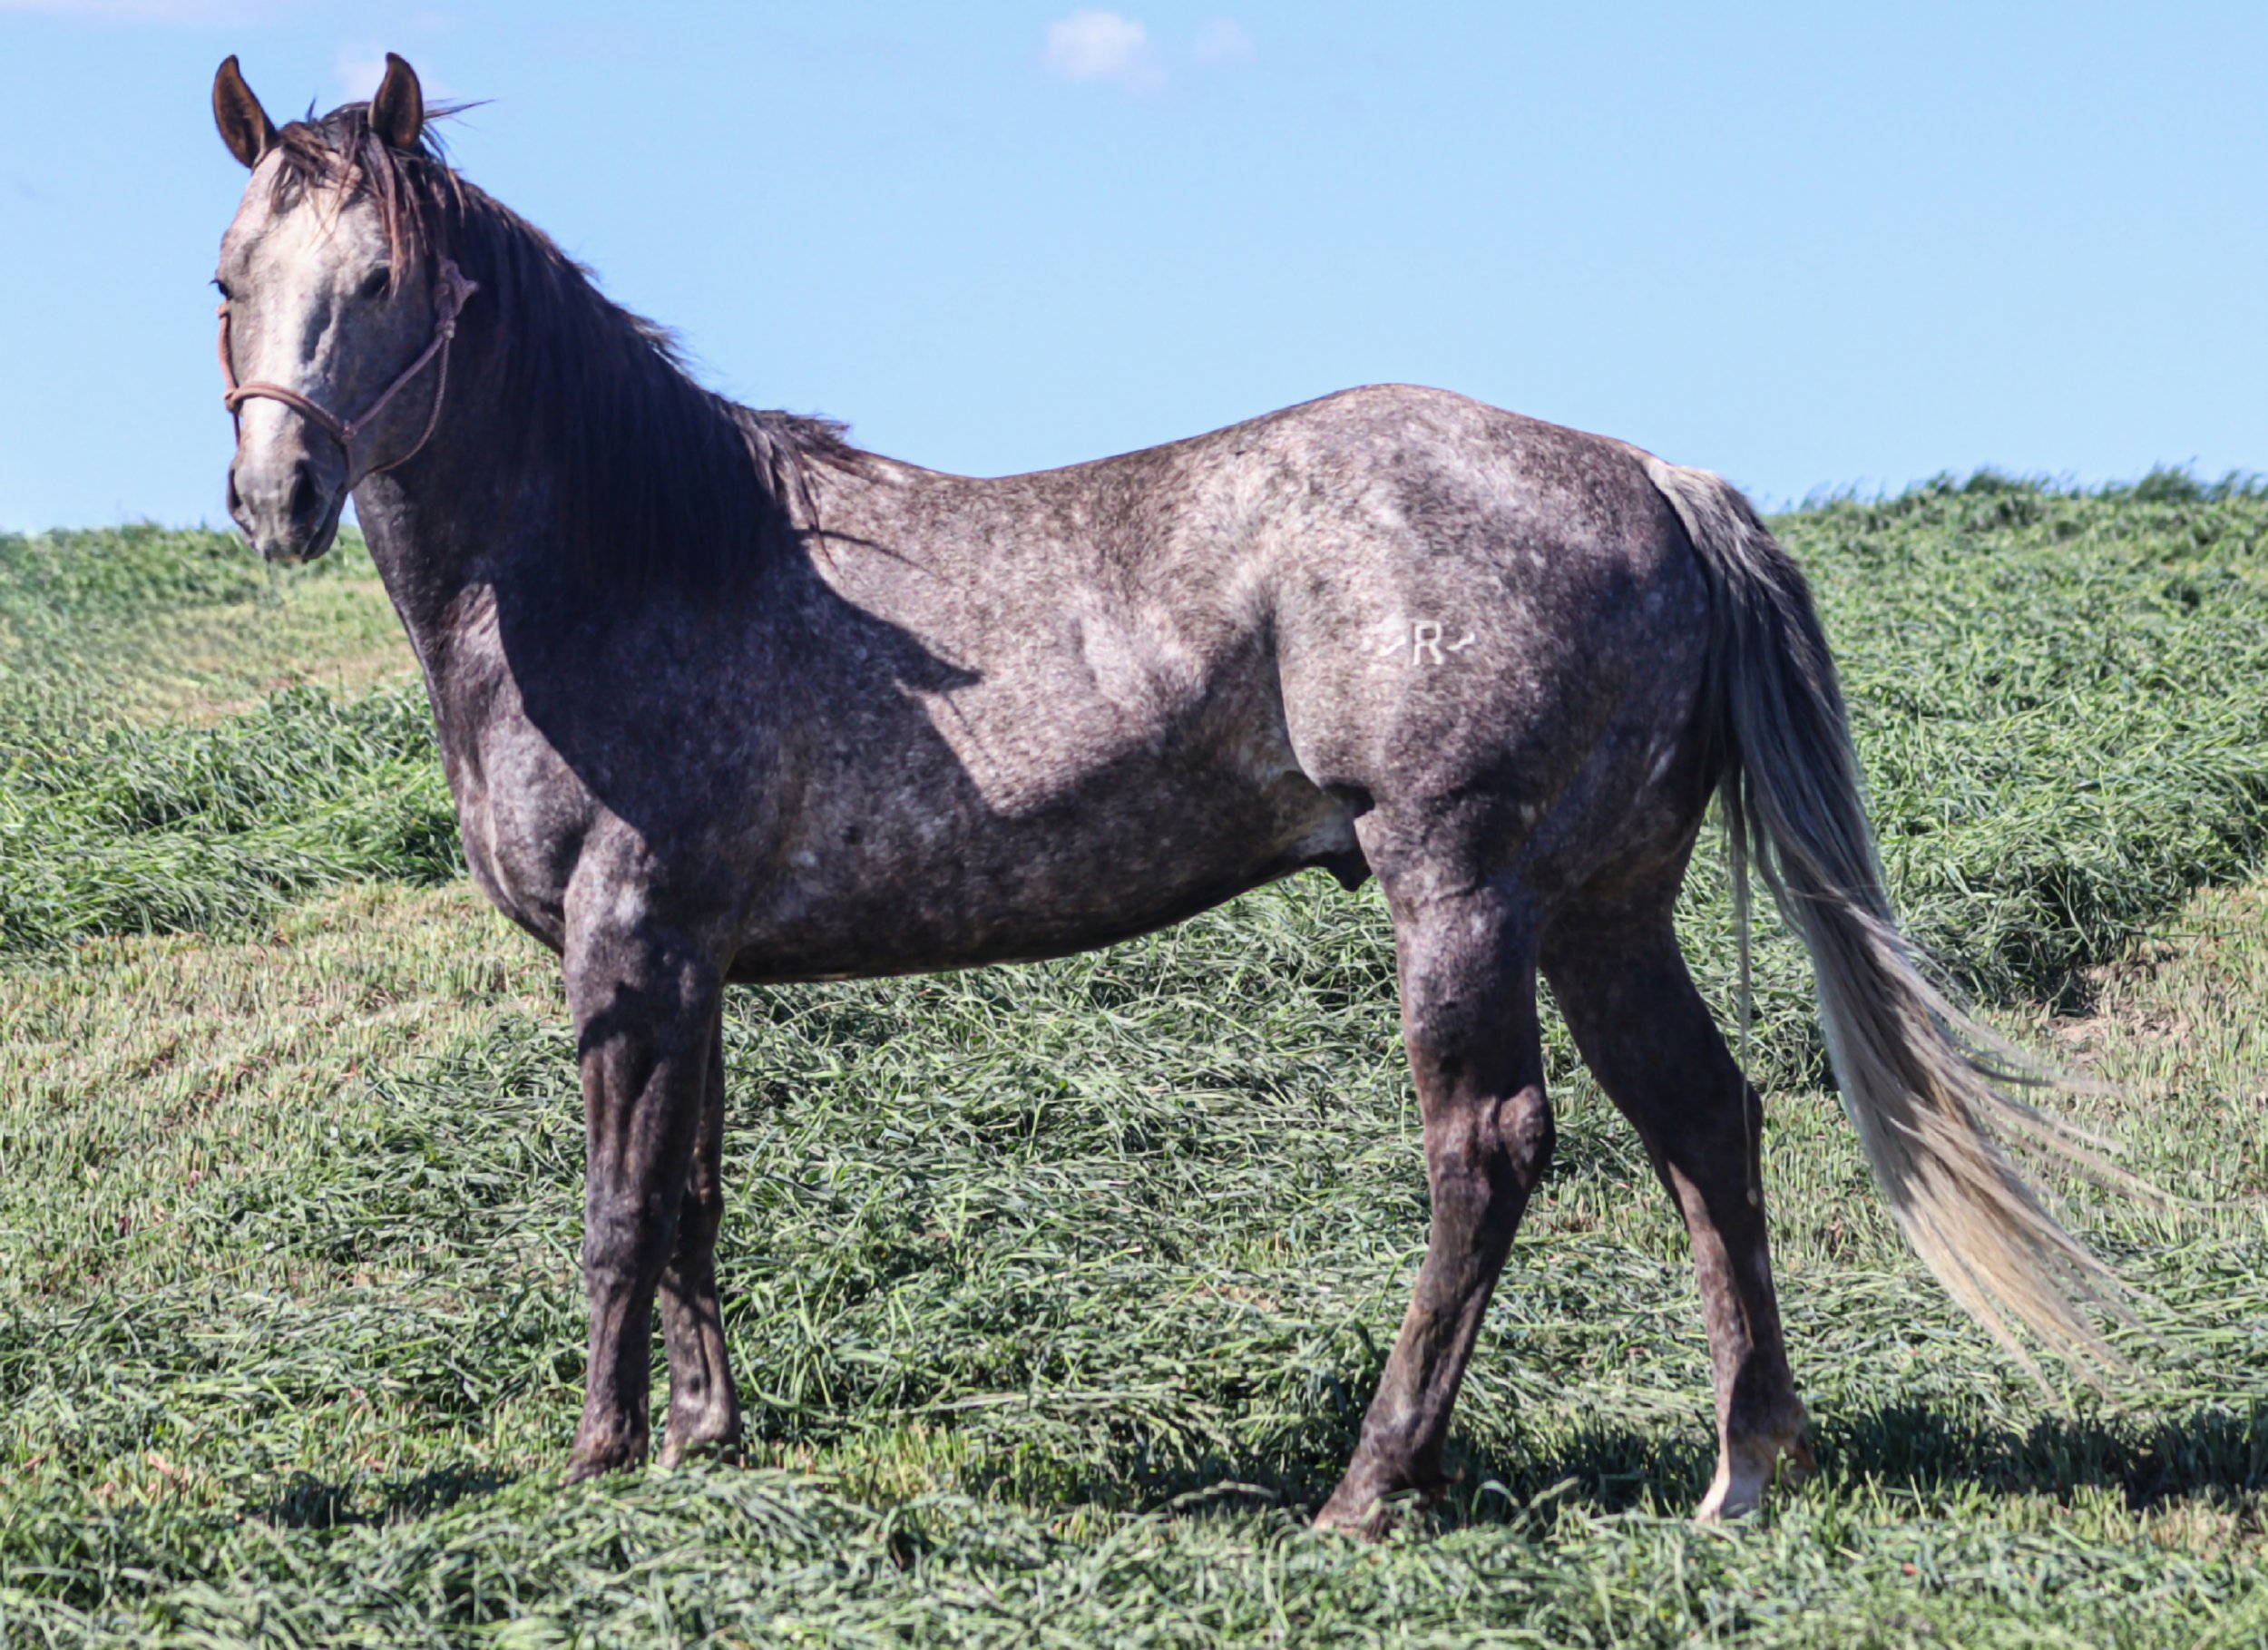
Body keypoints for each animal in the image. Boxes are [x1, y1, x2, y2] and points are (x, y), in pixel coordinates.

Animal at [208, 52, 2123, 1535]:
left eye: (384, 280)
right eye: (230, 274)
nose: (277, 490)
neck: (635, 559)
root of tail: (1658, 478)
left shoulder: (628, 942)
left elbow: (616, 1207)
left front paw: (599, 1457)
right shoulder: (697, 966)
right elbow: (692, 1193)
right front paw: (702, 1437)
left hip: (1464, 891)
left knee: (1493, 1148)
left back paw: (1371, 1482)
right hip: (1602, 905)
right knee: (1704, 1122)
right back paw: (1740, 1467)